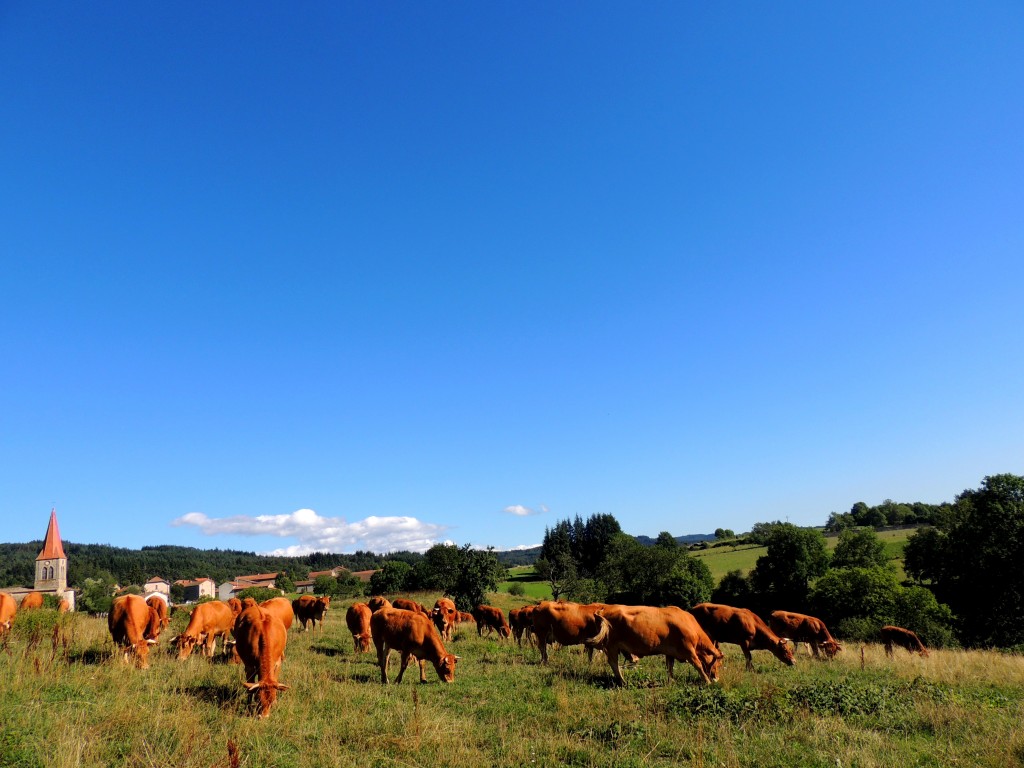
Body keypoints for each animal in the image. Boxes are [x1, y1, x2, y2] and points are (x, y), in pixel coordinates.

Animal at [589, 606, 724, 684]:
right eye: (719, 664)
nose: (717, 679)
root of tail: (603, 609)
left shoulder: (670, 653)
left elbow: (669, 667)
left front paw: (671, 681)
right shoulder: (689, 651)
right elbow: (699, 665)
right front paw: (707, 682)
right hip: (611, 645)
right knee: (614, 664)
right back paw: (623, 682)